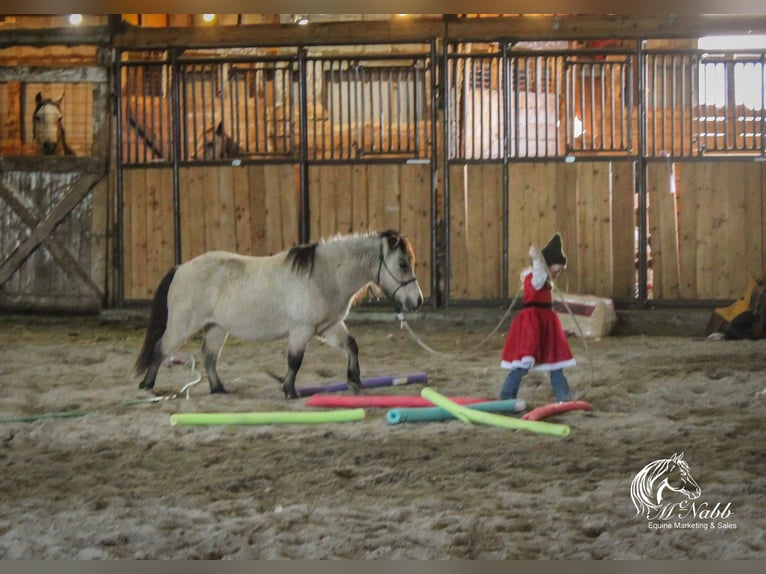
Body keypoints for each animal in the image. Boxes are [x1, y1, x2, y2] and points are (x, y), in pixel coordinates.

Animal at [138, 230, 426, 400]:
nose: (417, 301)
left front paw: (354, 381)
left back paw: (219, 389)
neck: (325, 275)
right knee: (161, 348)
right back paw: (147, 385)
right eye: (402, 264)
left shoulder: (329, 326)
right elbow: (294, 361)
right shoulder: (301, 330)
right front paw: (290, 390)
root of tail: (180, 268)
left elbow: (352, 346)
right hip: (182, 326)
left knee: (208, 357)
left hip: (217, 328)